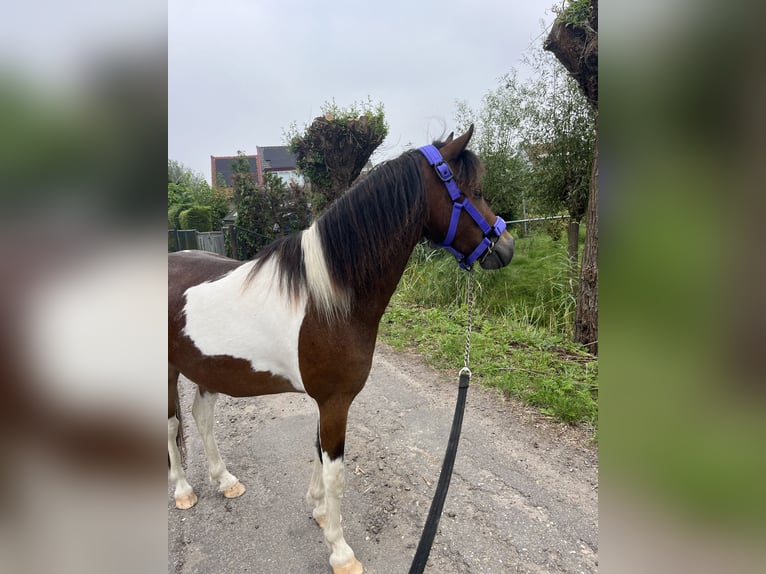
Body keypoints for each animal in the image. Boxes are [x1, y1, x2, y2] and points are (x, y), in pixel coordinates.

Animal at [168, 127, 516, 574]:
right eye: (473, 191)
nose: (505, 247)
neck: (330, 298)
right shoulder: (334, 401)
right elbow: (336, 472)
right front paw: (339, 549)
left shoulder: (327, 402)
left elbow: (318, 452)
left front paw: (317, 509)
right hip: (168, 371)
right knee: (173, 426)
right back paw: (182, 489)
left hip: (208, 369)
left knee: (202, 417)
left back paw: (225, 480)